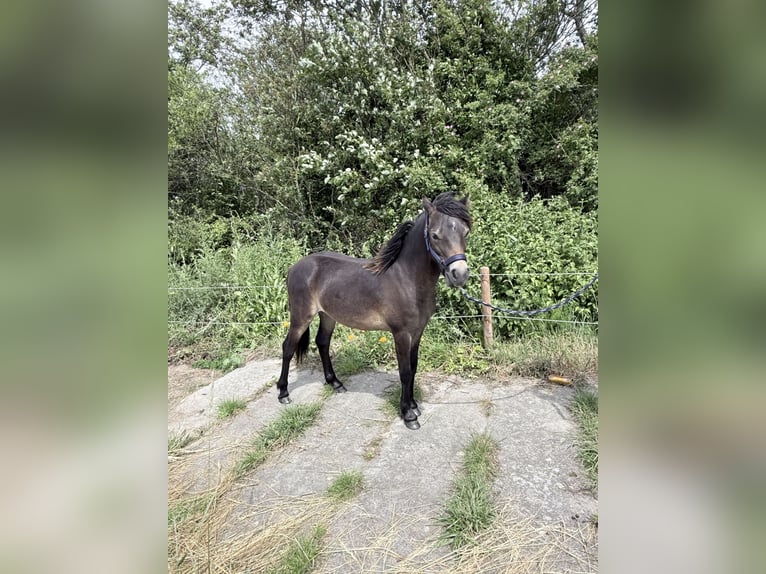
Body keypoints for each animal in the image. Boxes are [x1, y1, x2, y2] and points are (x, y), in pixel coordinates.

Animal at [276, 192, 472, 430]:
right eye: (435, 235)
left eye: (465, 232)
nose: (459, 274)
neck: (406, 279)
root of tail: (295, 267)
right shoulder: (401, 334)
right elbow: (405, 372)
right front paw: (408, 415)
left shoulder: (417, 332)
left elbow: (414, 367)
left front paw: (413, 405)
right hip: (301, 317)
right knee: (288, 347)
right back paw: (283, 393)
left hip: (328, 316)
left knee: (322, 343)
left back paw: (335, 383)